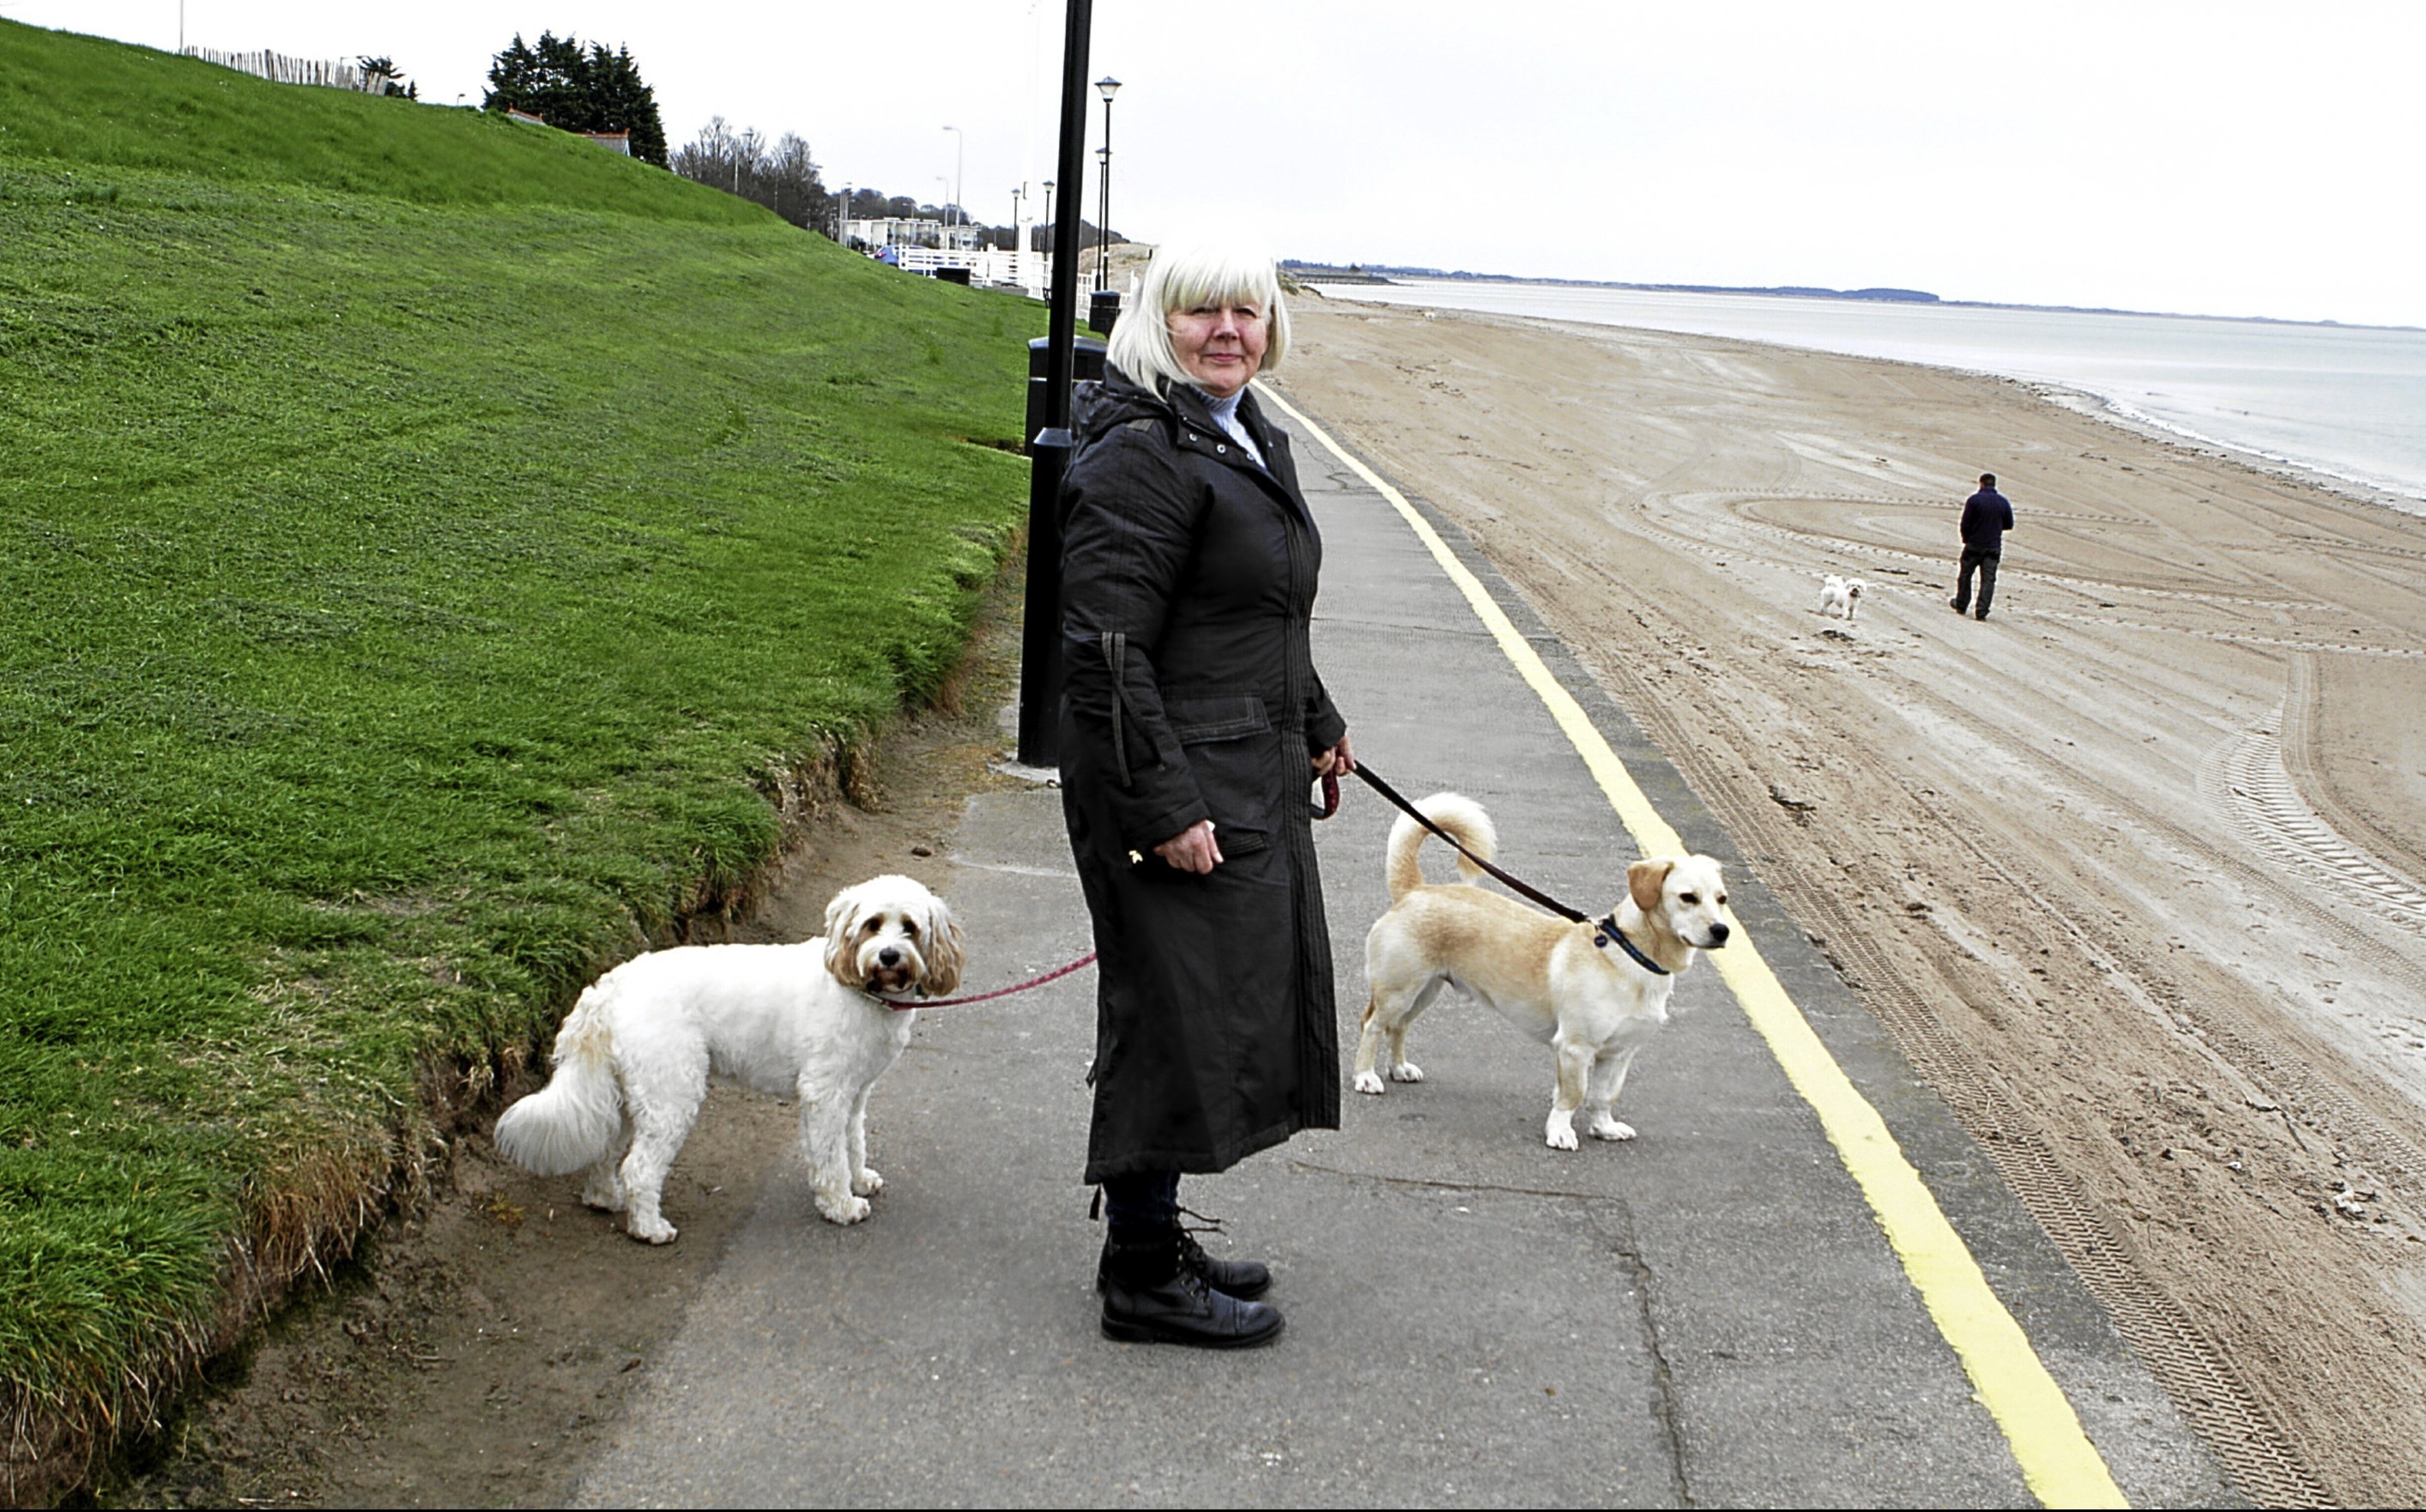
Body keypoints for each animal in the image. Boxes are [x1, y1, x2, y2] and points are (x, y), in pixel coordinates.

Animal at [490, 874, 955, 1243]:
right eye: (873, 925)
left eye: (910, 928)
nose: (889, 956)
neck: (857, 986)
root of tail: (610, 985)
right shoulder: (826, 1094)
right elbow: (830, 1155)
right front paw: (841, 1204)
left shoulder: (855, 1094)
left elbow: (853, 1143)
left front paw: (859, 1180)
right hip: (671, 1095)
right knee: (639, 1168)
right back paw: (650, 1229)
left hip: (627, 1096)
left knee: (606, 1153)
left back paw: (606, 1199)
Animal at [1348, 801, 1727, 1155]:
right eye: (1688, 897)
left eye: (1722, 899)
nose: (1722, 931)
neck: (1630, 956)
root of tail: (1415, 890)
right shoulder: (1575, 1048)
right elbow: (1574, 1095)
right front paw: (1560, 1132)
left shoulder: (1619, 1054)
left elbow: (1604, 1096)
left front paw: (1604, 1127)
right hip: (1398, 991)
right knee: (1373, 1025)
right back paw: (1365, 1076)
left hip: (1425, 992)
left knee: (1398, 1027)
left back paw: (1399, 1068)